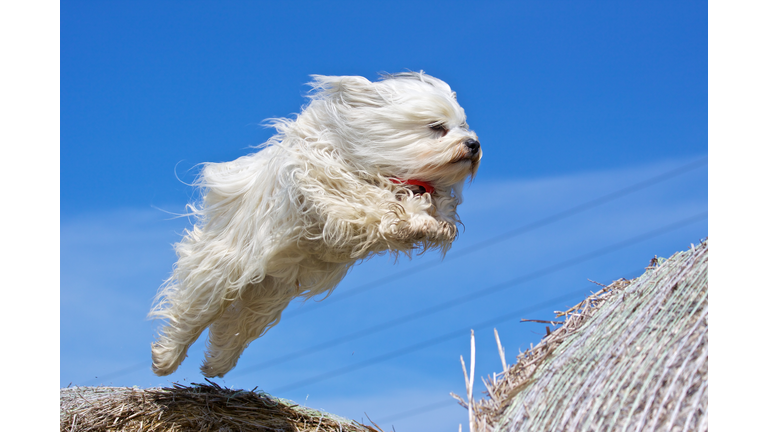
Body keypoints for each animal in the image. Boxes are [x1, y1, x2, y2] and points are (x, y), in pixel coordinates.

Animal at [149, 72, 480, 376]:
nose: (473, 144)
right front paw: (415, 216)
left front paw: (437, 222)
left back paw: (216, 364)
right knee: (194, 310)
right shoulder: (330, 185)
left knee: (237, 324)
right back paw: (165, 358)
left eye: (463, 126)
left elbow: (433, 207)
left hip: (267, 292)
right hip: (224, 269)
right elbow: (374, 201)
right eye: (437, 127)